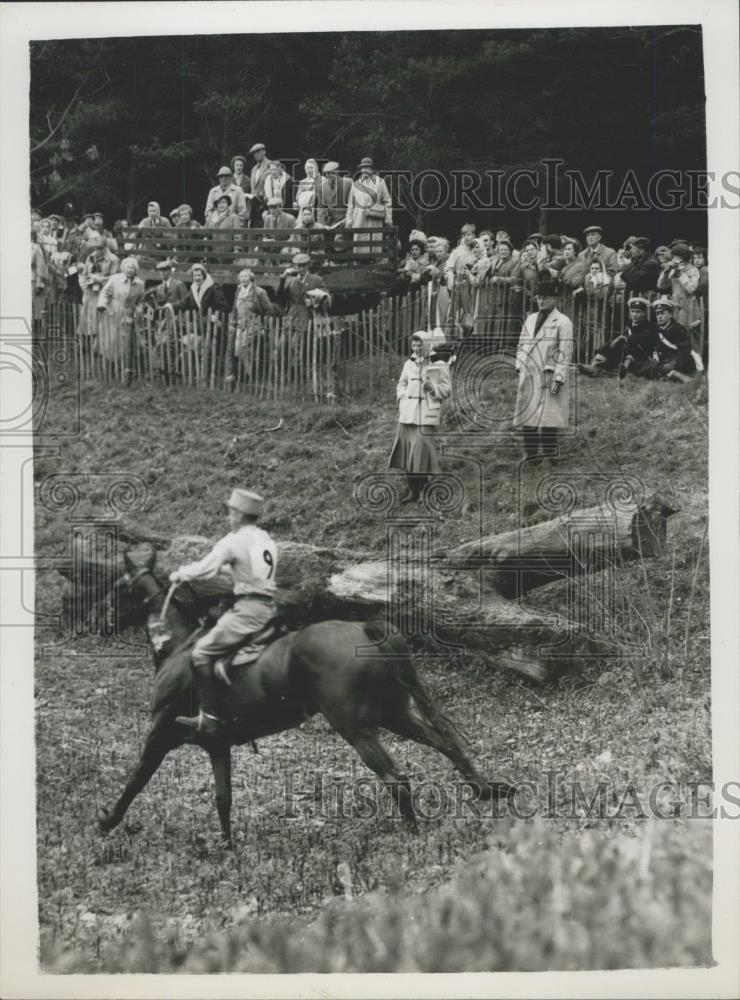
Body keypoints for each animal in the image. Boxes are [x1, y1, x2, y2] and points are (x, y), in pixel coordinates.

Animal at [97, 548, 516, 844]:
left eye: (118, 586)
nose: (100, 620)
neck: (179, 648)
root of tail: (364, 629)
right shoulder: (217, 745)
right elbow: (223, 797)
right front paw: (228, 846)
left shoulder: (161, 735)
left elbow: (136, 781)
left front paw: (107, 822)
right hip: (393, 713)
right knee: (446, 744)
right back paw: (485, 790)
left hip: (355, 727)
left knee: (396, 777)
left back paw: (412, 832)